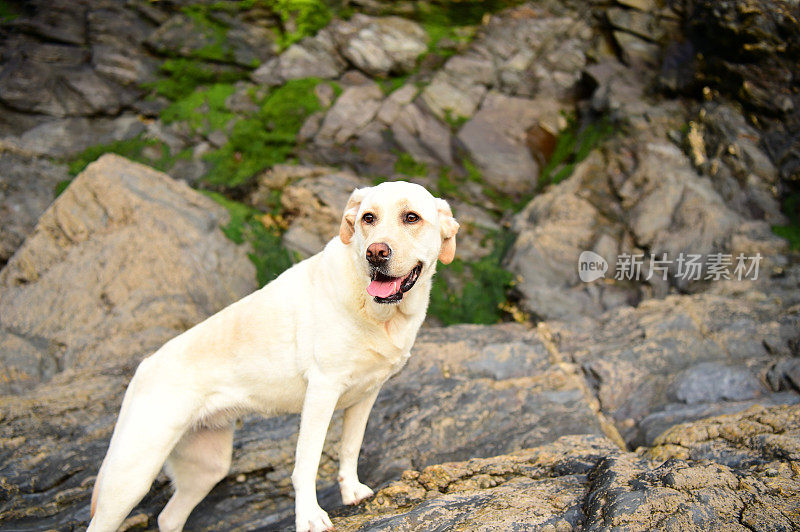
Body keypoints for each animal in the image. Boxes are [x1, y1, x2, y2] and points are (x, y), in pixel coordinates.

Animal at [87, 181, 460, 528]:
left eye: (411, 217)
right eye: (368, 218)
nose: (376, 253)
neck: (380, 314)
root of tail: (144, 366)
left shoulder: (367, 394)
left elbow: (350, 446)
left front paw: (351, 490)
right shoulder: (322, 392)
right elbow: (307, 463)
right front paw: (309, 517)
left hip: (207, 468)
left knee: (168, 517)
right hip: (131, 477)